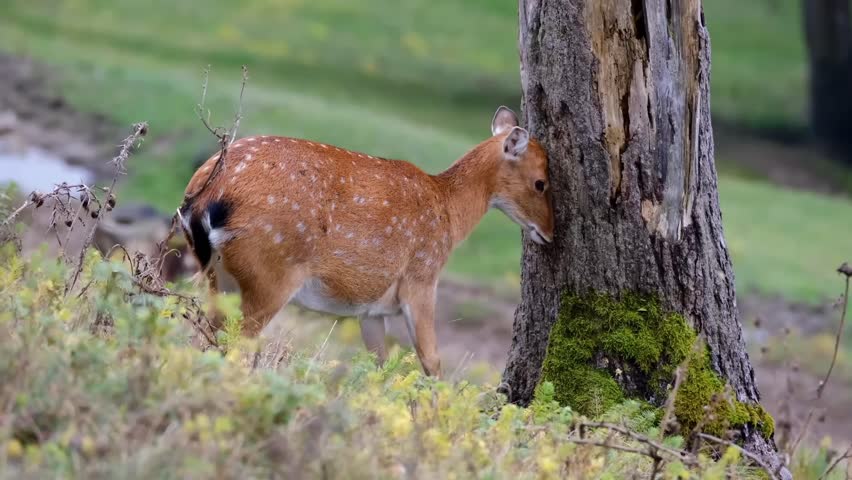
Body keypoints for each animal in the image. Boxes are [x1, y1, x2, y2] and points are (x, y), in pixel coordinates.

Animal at [178, 106, 553, 377]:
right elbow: (432, 361)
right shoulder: (421, 278)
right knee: (235, 346)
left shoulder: (371, 309)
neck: (448, 212)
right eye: (541, 182)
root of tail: (205, 195)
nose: (550, 233)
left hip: (218, 276)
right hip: (270, 273)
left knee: (200, 338)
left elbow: (380, 365)